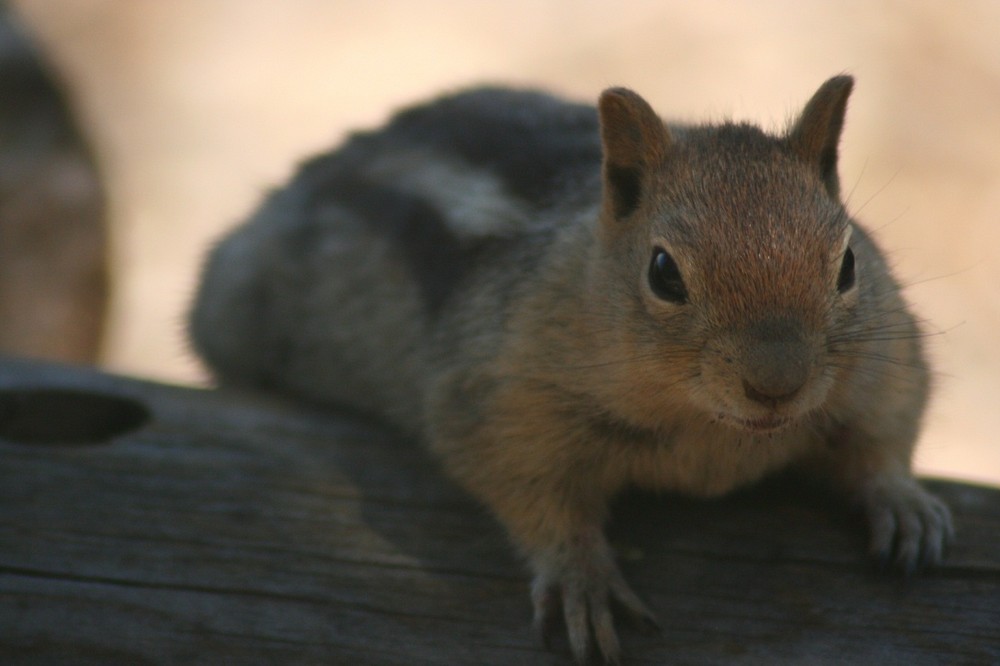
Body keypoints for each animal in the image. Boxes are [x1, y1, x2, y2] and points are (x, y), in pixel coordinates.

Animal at [189, 75, 952, 660]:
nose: (777, 386)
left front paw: (904, 505)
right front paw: (583, 580)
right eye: (664, 273)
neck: (715, 430)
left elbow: (883, 437)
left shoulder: (888, 366)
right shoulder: (505, 395)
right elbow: (532, 493)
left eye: (847, 263)